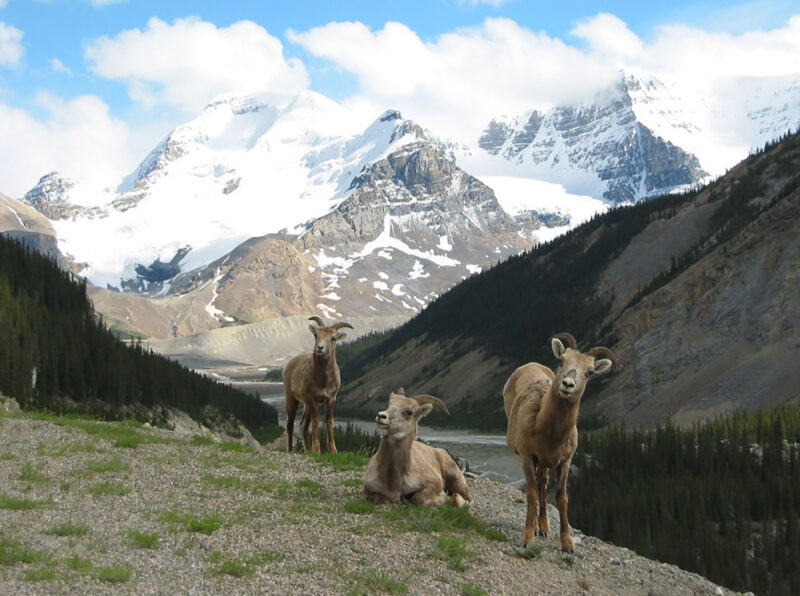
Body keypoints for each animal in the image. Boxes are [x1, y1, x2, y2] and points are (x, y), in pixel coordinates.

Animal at [283, 316, 353, 453]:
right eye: (316, 335)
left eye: (333, 338)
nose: (320, 348)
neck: (323, 381)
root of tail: (288, 365)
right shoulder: (312, 399)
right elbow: (316, 422)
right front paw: (317, 451)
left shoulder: (331, 399)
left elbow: (329, 422)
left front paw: (333, 450)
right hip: (292, 399)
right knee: (290, 424)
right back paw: (291, 450)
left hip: (305, 405)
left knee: (303, 425)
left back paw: (308, 451)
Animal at [503, 332, 615, 551]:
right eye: (562, 360)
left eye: (590, 372)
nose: (567, 384)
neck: (549, 433)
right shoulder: (528, 457)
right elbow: (531, 493)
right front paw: (527, 539)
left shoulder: (565, 461)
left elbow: (561, 498)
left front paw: (567, 544)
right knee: (538, 486)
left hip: (545, 464)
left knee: (543, 483)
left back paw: (544, 528)